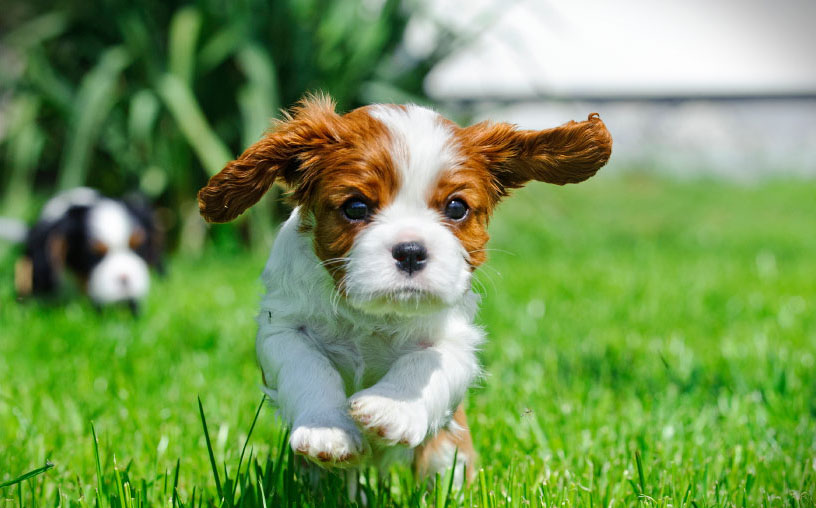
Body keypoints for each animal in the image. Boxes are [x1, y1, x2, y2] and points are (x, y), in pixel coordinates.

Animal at [196, 94, 604, 484]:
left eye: (456, 208)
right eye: (356, 207)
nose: (410, 250)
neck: (375, 314)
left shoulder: (458, 341)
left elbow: (426, 361)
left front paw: (392, 407)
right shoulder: (281, 327)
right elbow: (308, 366)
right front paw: (327, 430)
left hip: (448, 454)